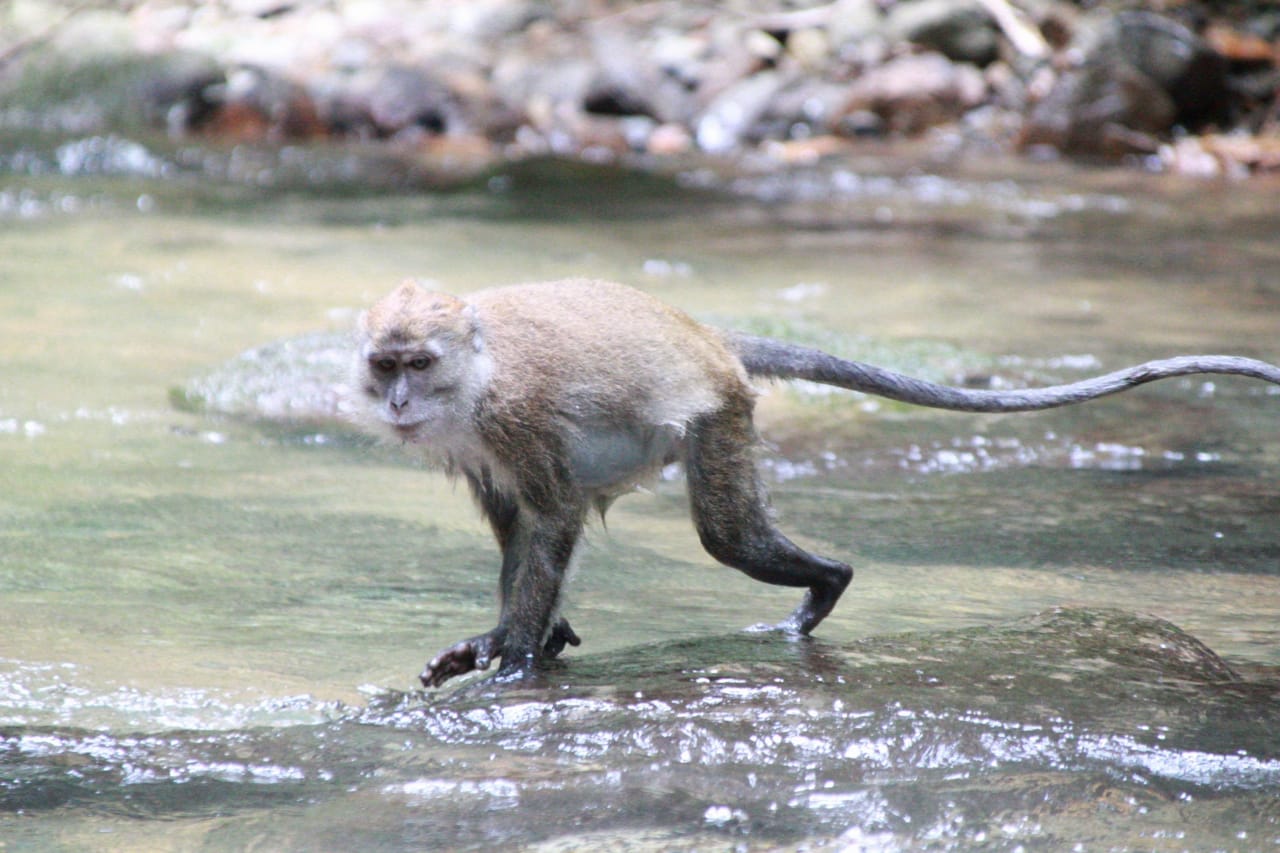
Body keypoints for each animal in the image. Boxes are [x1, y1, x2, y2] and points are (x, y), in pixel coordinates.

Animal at [355, 275, 1280, 686]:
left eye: (419, 363)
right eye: (386, 363)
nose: (397, 401)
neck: (475, 381)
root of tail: (709, 336)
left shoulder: (522, 420)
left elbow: (551, 522)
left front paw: (514, 656)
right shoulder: (479, 450)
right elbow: (521, 531)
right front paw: (501, 640)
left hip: (720, 413)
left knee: (728, 536)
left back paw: (828, 584)